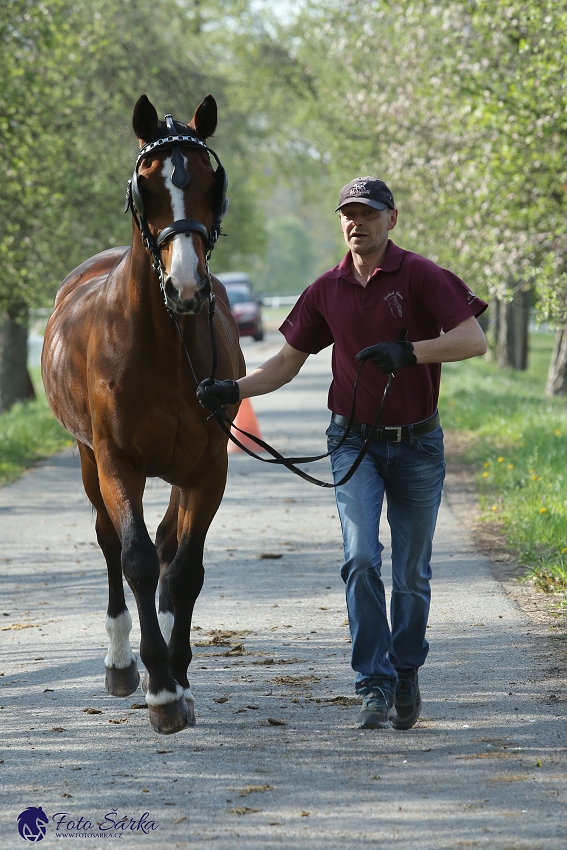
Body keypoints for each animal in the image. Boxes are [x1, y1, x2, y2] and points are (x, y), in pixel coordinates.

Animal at [40, 91, 244, 728]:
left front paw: (178, 675)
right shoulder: (117, 463)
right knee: (110, 542)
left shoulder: (207, 466)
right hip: (88, 462)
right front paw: (159, 688)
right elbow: (136, 561)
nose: (186, 286)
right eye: (146, 184)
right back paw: (122, 663)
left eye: (209, 180)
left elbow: (184, 570)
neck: (161, 345)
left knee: (170, 542)